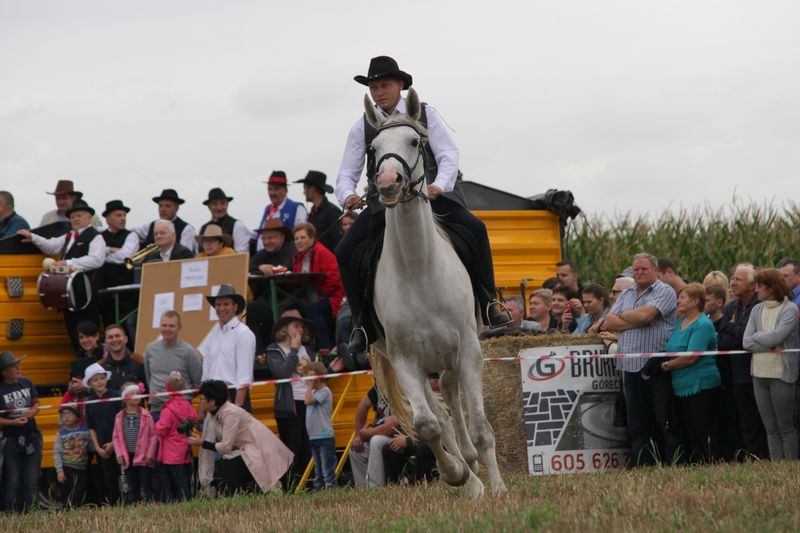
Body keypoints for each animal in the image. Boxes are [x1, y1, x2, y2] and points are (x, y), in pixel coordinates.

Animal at [364, 88, 506, 498]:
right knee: (440, 413)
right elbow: (428, 425)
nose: (389, 181)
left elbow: (480, 426)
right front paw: (458, 475)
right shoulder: (405, 360)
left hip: (454, 354)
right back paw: (468, 474)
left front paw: (498, 489)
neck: (419, 270)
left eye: (415, 142)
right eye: (373, 148)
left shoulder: (469, 349)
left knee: (451, 394)